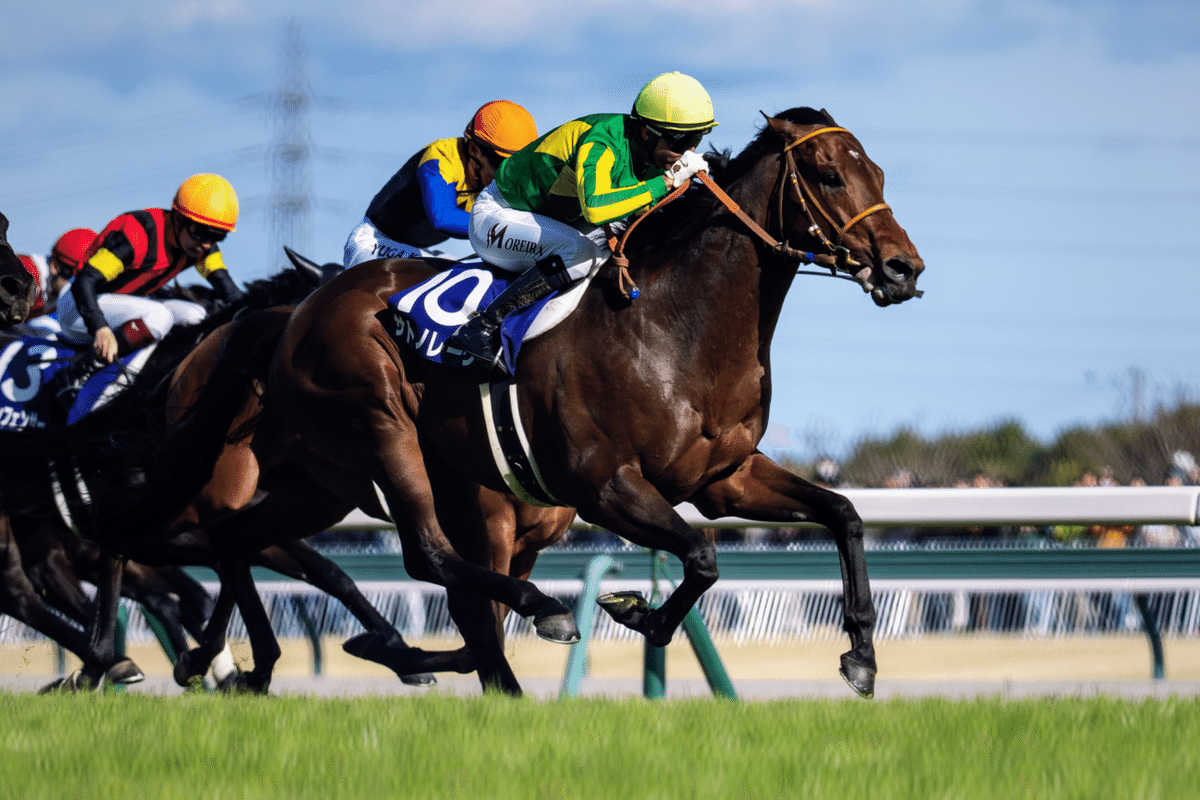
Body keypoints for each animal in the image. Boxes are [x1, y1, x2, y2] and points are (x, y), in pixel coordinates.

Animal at [256, 107, 924, 697]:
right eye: (829, 175)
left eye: (879, 174)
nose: (904, 268)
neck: (675, 328)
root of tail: (310, 305)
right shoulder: (603, 486)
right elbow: (702, 555)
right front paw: (638, 612)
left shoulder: (724, 479)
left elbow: (843, 514)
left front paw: (862, 655)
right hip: (380, 425)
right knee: (430, 557)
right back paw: (539, 612)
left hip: (443, 471)